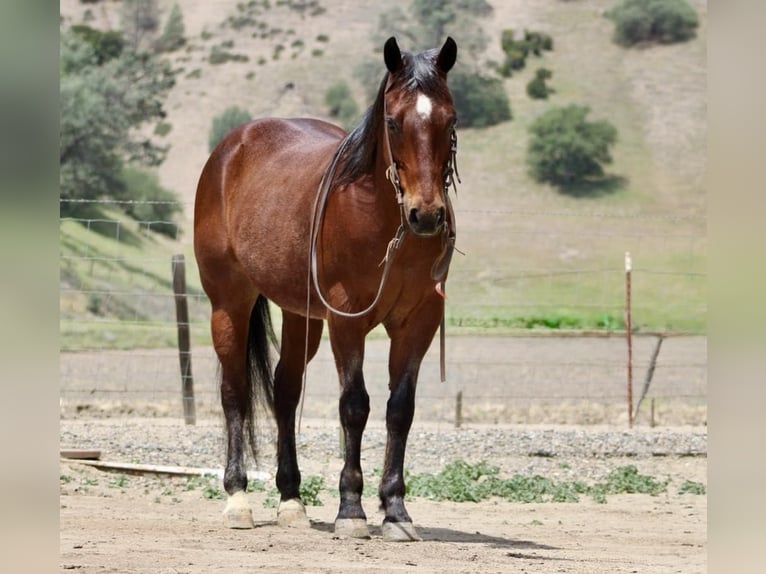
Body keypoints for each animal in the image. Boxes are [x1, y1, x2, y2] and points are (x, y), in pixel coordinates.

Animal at [193, 36, 459, 542]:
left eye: (450, 119)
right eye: (392, 121)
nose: (426, 214)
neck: (383, 219)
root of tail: (230, 147)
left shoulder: (418, 321)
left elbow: (400, 410)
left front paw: (396, 512)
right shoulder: (346, 319)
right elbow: (354, 406)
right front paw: (351, 510)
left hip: (301, 315)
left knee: (284, 390)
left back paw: (291, 499)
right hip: (228, 303)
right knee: (235, 391)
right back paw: (238, 498)